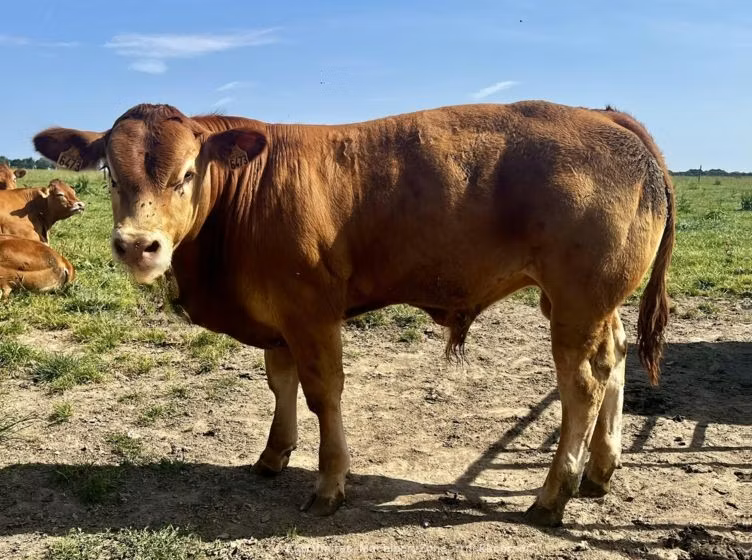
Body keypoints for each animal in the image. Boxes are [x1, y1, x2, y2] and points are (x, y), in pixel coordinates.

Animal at [33, 100, 675, 526]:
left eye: (187, 173)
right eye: (111, 173)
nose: (136, 245)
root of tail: (604, 116)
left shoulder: (311, 311)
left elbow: (324, 393)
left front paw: (330, 483)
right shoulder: (277, 318)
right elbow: (280, 383)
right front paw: (273, 454)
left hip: (577, 302)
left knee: (582, 386)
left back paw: (553, 494)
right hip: (591, 303)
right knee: (614, 360)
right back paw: (600, 469)